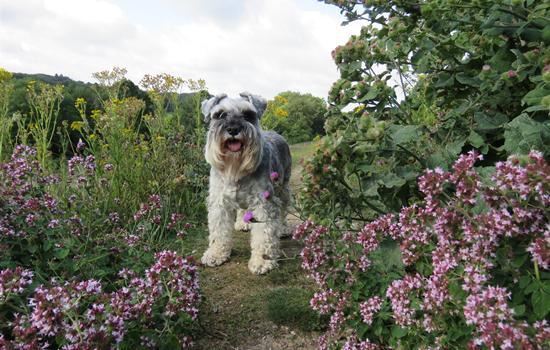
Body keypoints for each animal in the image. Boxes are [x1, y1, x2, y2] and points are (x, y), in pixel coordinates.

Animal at [202, 91, 294, 274]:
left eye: (248, 114)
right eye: (219, 114)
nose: (233, 129)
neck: (236, 168)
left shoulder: (263, 202)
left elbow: (264, 234)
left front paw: (262, 261)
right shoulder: (219, 202)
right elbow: (218, 230)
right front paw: (216, 253)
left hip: (283, 188)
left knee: (284, 209)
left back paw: (284, 228)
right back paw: (241, 223)